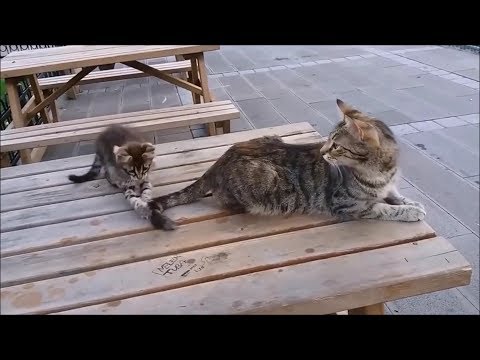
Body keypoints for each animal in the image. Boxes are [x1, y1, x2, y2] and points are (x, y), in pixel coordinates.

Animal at [148, 97, 426, 231]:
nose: (322, 151)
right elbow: (383, 208)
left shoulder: (387, 186)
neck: (381, 171)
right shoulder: (348, 205)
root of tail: (218, 162)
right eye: (327, 140)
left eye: (335, 145)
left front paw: (411, 203)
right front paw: (410, 211)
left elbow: (394, 195)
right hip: (263, 179)